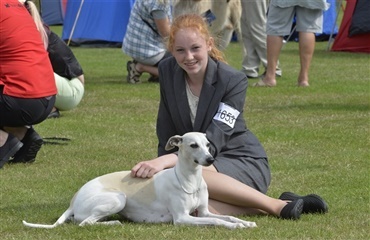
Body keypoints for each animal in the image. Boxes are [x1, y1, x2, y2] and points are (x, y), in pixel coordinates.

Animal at [22, 132, 254, 230]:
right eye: (193, 145)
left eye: (207, 144)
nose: (210, 159)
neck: (189, 180)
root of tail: (74, 200)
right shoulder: (182, 219)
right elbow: (218, 220)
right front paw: (235, 227)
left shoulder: (203, 212)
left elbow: (226, 216)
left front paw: (245, 222)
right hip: (118, 198)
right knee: (85, 223)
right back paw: (113, 222)